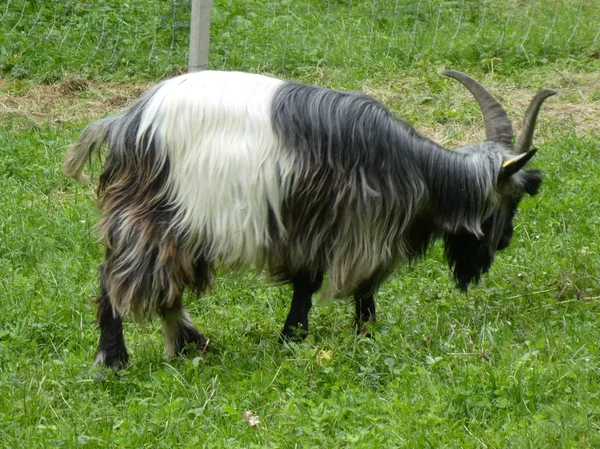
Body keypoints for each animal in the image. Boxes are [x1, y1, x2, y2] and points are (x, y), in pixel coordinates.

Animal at [63, 71, 556, 372]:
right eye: (511, 199)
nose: (506, 240)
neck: (417, 170)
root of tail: (124, 124)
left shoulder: (313, 231)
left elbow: (313, 283)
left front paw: (302, 335)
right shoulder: (351, 227)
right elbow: (354, 286)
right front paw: (347, 333)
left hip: (177, 226)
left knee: (162, 283)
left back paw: (190, 345)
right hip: (155, 214)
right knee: (117, 278)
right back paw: (113, 360)